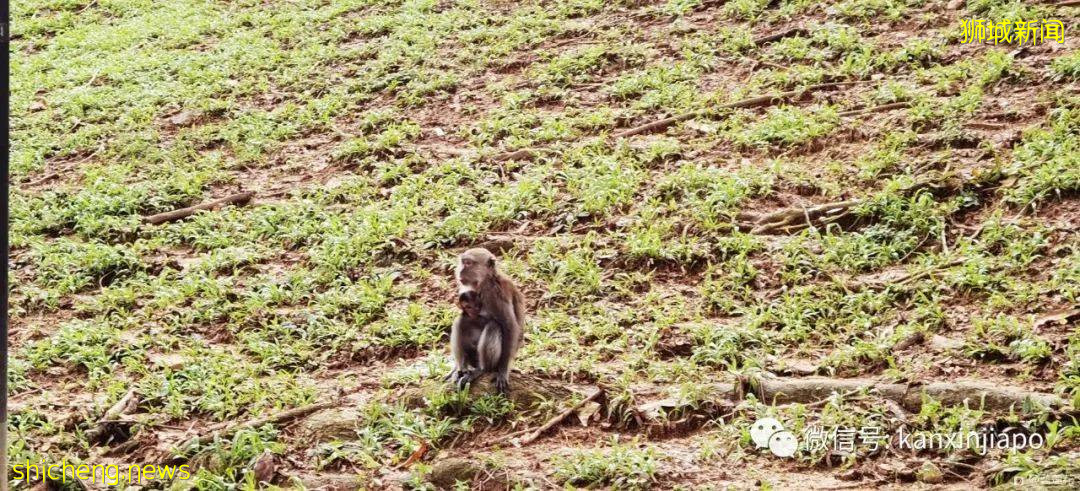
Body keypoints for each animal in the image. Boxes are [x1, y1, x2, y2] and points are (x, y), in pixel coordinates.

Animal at [447, 248, 527, 394]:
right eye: (463, 262)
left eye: (468, 263)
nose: (460, 271)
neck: (487, 279)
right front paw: (454, 369)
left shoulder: (494, 293)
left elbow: (509, 325)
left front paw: (503, 371)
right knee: (461, 321)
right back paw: (462, 369)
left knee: (493, 326)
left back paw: (483, 369)